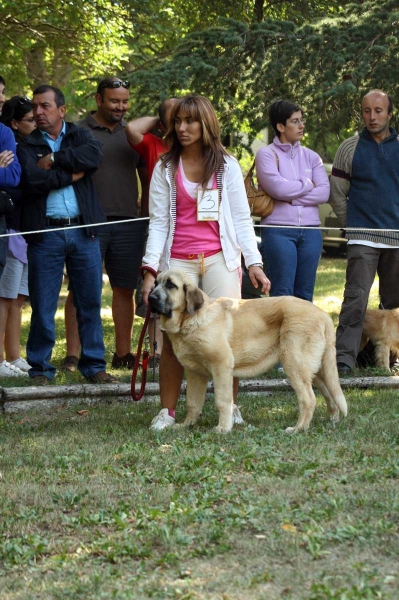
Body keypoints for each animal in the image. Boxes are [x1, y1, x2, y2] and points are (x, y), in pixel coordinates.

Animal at [148, 270, 348, 434]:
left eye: (170, 285)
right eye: (155, 283)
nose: (150, 297)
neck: (190, 320)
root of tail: (323, 314)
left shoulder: (221, 366)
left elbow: (222, 400)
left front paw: (223, 428)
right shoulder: (196, 374)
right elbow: (193, 402)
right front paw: (186, 425)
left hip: (295, 364)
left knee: (309, 399)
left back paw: (298, 428)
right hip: (315, 369)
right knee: (329, 393)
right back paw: (331, 420)